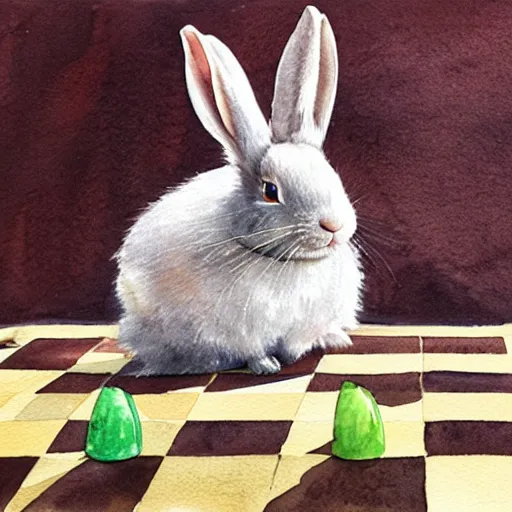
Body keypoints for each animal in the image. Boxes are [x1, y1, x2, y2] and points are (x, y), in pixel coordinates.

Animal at [116, 5, 364, 376]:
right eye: (271, 191)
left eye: (332, 175)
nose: (333, 226)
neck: (288, 264)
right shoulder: (237, 331)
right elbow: (253, 349)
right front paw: (266, 366)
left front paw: (328, 342)